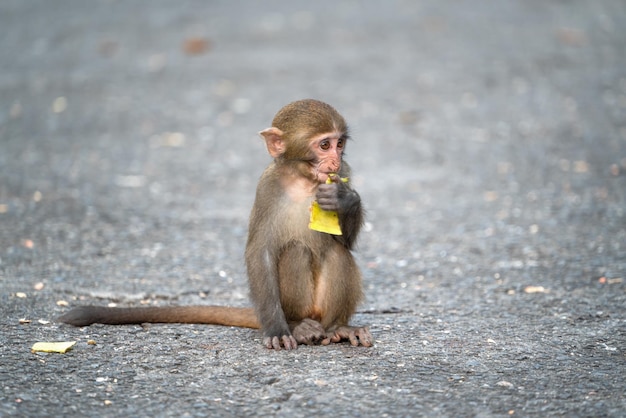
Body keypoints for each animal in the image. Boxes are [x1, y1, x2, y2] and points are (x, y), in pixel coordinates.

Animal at [57, 99, 370, 350]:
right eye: (324, 144)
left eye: (340, 144)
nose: (335, 161)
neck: (303, 179)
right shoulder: (267, 188)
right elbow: (260, 252)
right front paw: (278, 330)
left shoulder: (345, 172)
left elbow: (345, 241)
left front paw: (344, 199)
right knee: (295, 251)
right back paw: (298, 325)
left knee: (336, 252)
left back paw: (338, 328)